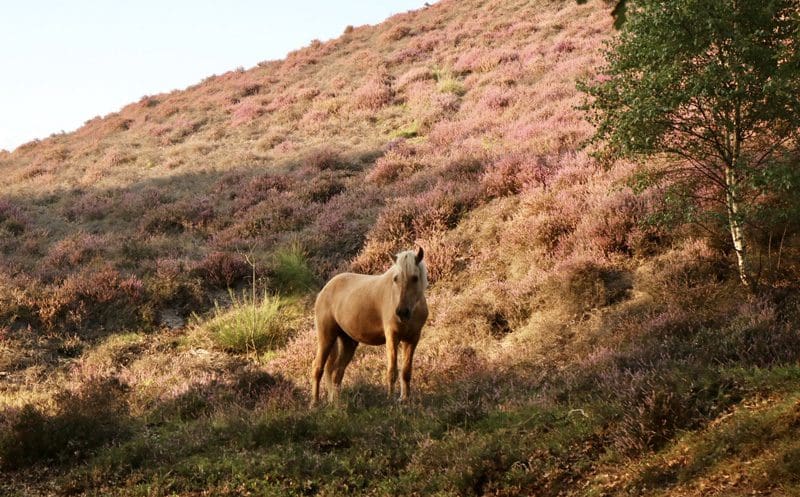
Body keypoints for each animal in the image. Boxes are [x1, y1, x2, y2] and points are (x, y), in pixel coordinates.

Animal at [310, 246, 428, 404]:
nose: (402, 312)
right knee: (318, 368)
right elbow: (392, 371)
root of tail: (324, 290)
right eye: (395, 278)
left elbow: (406, 372)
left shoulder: (412, 339)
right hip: (326, 337)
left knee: (336, 372)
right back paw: (315, 403)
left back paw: (337, 403)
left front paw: (405, 400)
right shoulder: (392, 337)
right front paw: (390, 400)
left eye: (415, 278)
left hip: (348, 342)